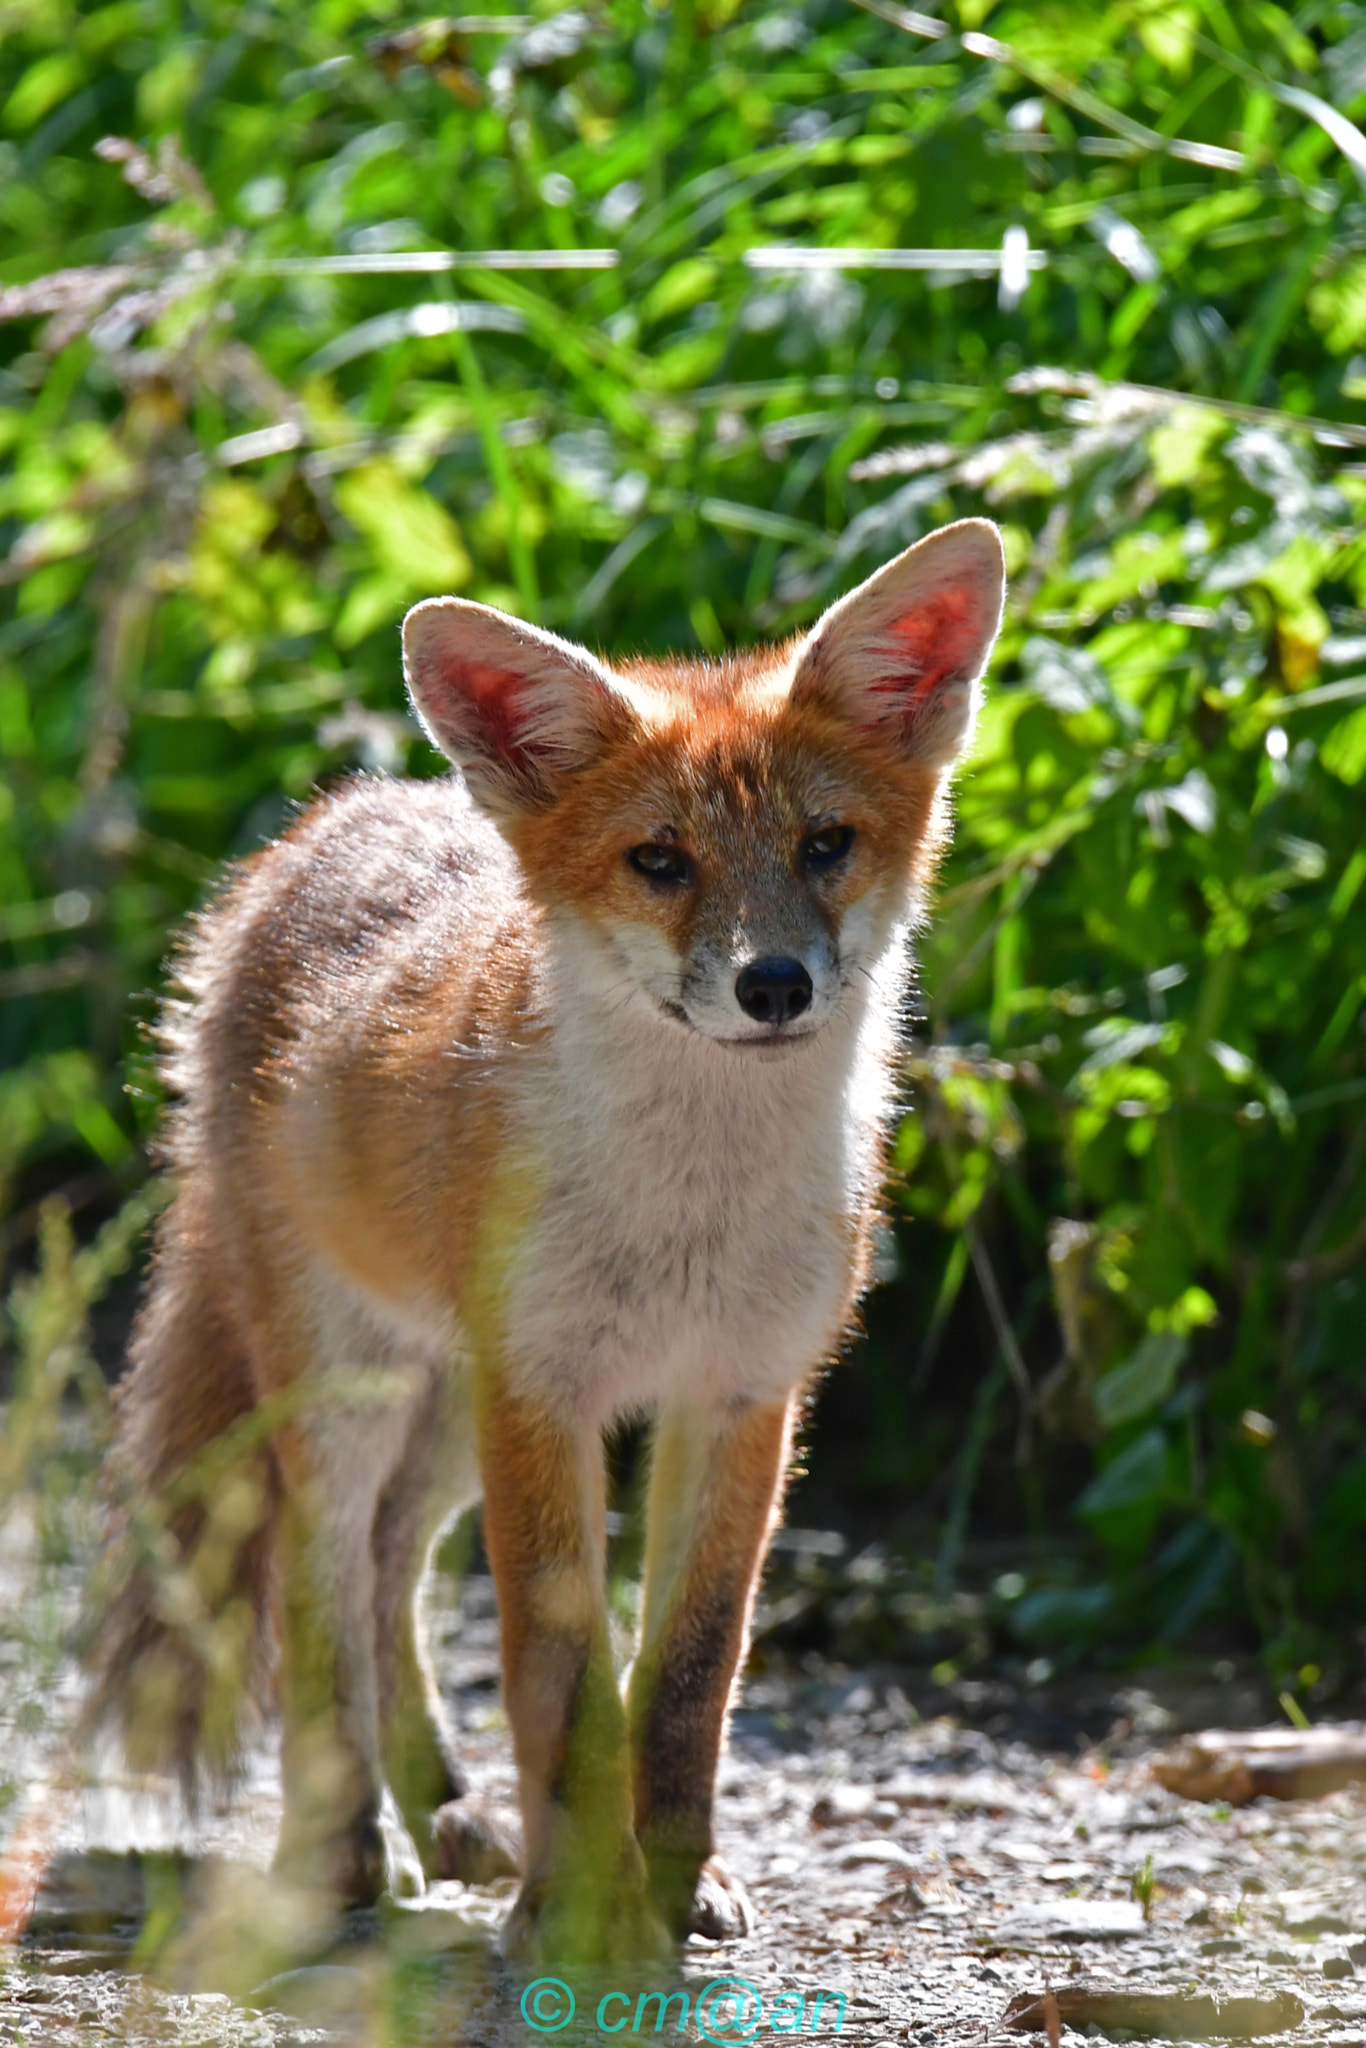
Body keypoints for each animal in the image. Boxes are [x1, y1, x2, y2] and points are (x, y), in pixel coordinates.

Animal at [87, 516, 1006, 1964]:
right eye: (659, 861)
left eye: (823, 843)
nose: (772, 984)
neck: (690, 1209)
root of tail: (323, 827)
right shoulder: (544, 1390)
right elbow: (561, 1679)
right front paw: (577, 1907)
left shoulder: (740, 1391)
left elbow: (683, 1674)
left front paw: (677, 1879)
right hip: (356, 1389)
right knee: (320, 1583)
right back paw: (342, 1848)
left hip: (448, 1412)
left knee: (391, 1572)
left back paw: (448, 1810)